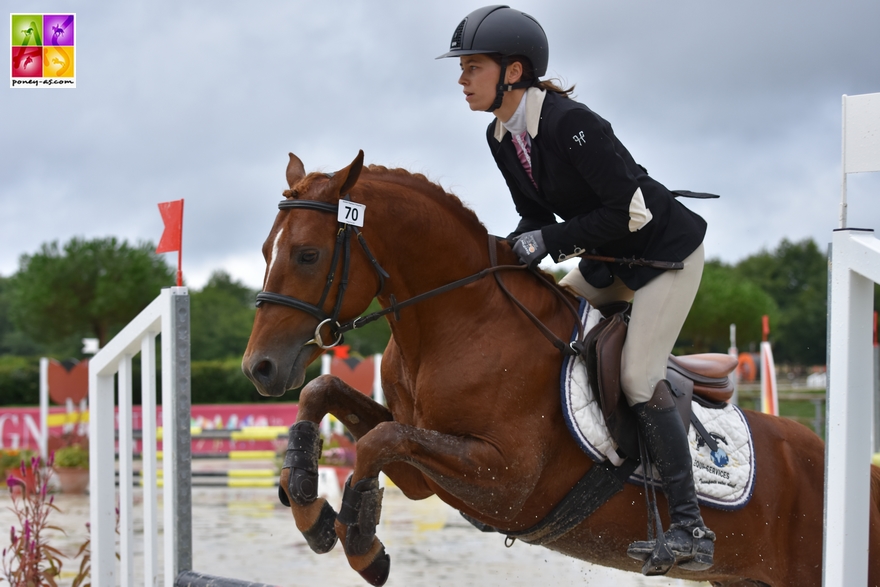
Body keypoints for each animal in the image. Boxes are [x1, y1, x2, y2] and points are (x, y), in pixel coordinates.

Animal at [241, 153, 880, 587]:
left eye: (308, 255)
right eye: (267, 250)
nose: (259, 368)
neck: (458, 322)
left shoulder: (506, 480)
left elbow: (379, 440)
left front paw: (361, 543)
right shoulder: (426, 472)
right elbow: (329, 396)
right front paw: (308, 503)